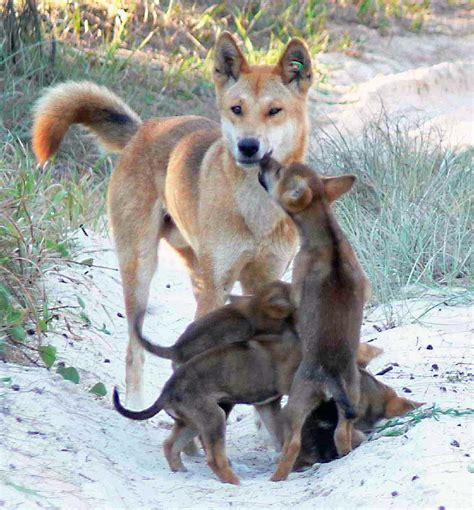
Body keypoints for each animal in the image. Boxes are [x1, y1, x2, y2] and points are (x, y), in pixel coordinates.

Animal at [33, 31, 314, 408]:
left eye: (274, 111)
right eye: (237, 109)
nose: (248, 146)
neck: (255, 208)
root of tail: (144, 130)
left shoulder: (263, 281)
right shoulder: (218, 284)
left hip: (196, 272)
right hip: (142, 268)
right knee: (135, 350)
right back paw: (137, 402)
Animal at [114, 332, 300, 484]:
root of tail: (167, 391)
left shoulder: (267, 404)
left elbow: (278, 434)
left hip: (192, 423)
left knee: (170, 445)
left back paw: (180, 470)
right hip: (215, 417)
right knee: (214, 459)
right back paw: (235, 482)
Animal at [258, 156, 368, 482]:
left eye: (278, 171)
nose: (264, 157)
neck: (328, 236)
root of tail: (330, 375)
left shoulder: (296, 283)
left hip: (296, 404)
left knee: (292, 444)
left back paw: (277, 477)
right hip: (352, 394)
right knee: (342, 435)